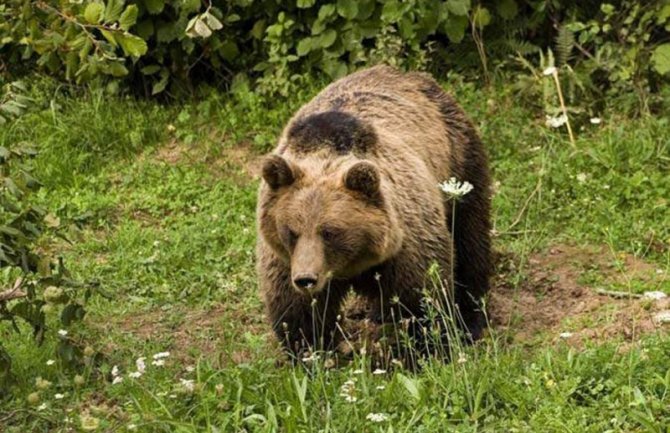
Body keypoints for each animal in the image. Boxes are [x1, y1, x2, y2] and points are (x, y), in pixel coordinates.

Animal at [255, 64, 490, 354]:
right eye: (291, 231)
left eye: (330, 231)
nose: (306, 279)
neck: (351, 264)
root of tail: (406, 73)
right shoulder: (286, 259)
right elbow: (298, 315)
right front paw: (313, 351)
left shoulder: (406, 244)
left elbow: (422, 298)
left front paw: (429, 345)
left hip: (458, 159)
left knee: (470, 237)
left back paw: (471, 316)